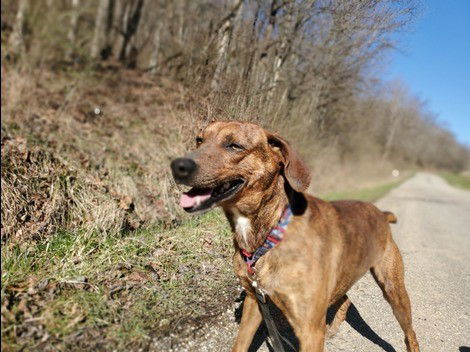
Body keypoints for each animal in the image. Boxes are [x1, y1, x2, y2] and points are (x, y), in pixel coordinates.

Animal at [171, 121, 420, 352]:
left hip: (393, 290)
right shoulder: (255, 300)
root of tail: (382, 214)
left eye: (234, 146)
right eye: (199, 140)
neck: (271, 234)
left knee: (410, 332)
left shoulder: (309, 330)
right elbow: (240, 344)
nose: (177, 165)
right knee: (345, 298)